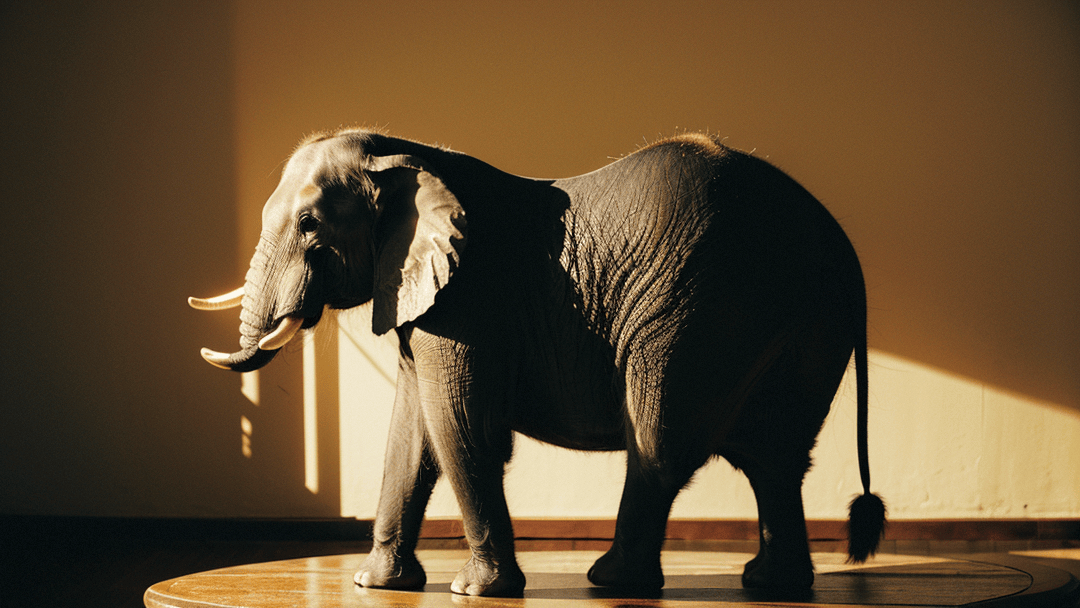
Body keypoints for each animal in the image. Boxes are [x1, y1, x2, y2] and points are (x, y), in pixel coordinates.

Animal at [190, 128, 885, 596]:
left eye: (310, 225)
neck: (405, 153)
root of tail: (847, 254)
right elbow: (411, 436)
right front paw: (375, 585)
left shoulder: (472, 300)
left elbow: (459, 428)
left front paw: (474, 592)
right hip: (800, 326)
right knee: (776, 458)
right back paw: (771, 584)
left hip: (697, 310)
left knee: (659, 442)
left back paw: (612, 582)